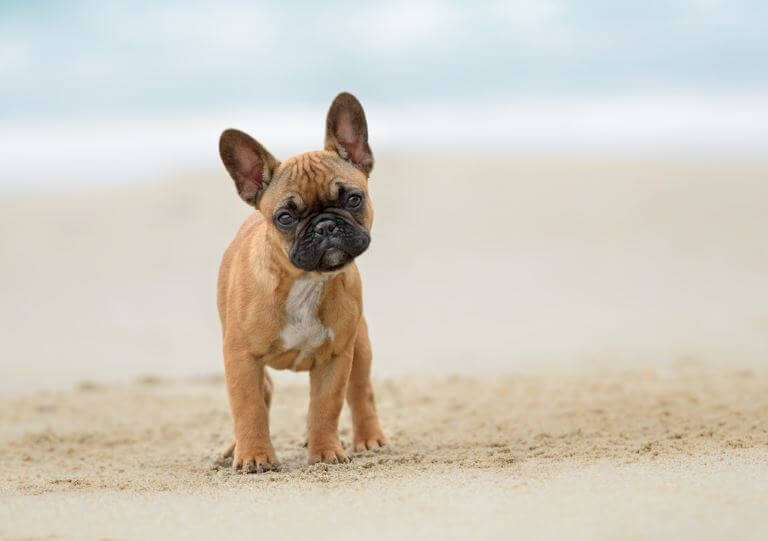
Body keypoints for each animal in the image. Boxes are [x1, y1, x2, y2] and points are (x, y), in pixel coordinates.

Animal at [216, 90, 388, 470]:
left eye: (354, 198)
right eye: (284, 217)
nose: (325, 226)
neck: (305, 282)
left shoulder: (336, 358)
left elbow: (326, 407)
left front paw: (325, 451)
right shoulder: (241, 358)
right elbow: (248, 407)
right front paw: (254, 455)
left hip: (360, 346)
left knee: (361, 392)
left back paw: (368, 438)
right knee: (262, 395)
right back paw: (235, 447)